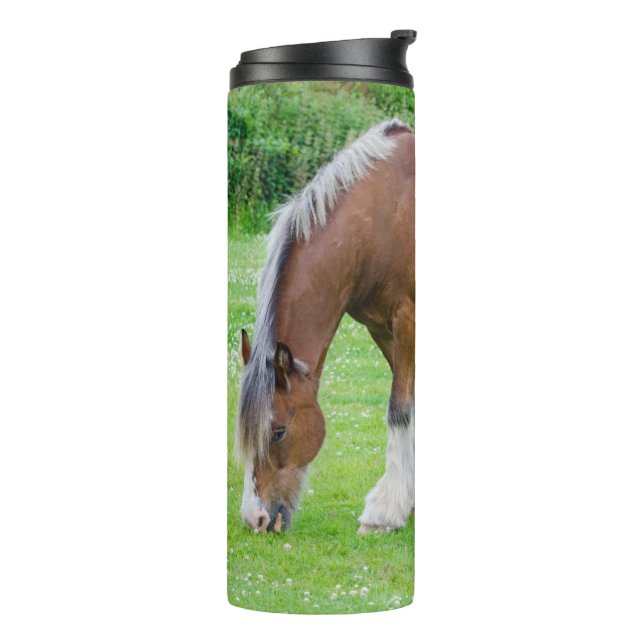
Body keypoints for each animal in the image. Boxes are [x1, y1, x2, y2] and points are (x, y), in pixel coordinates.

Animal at [235, 119, 414, 534]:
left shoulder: (407, 320)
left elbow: (400, 410)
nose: (256, 518)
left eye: (278, 432)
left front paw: (384, 513)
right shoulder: (382, 329)